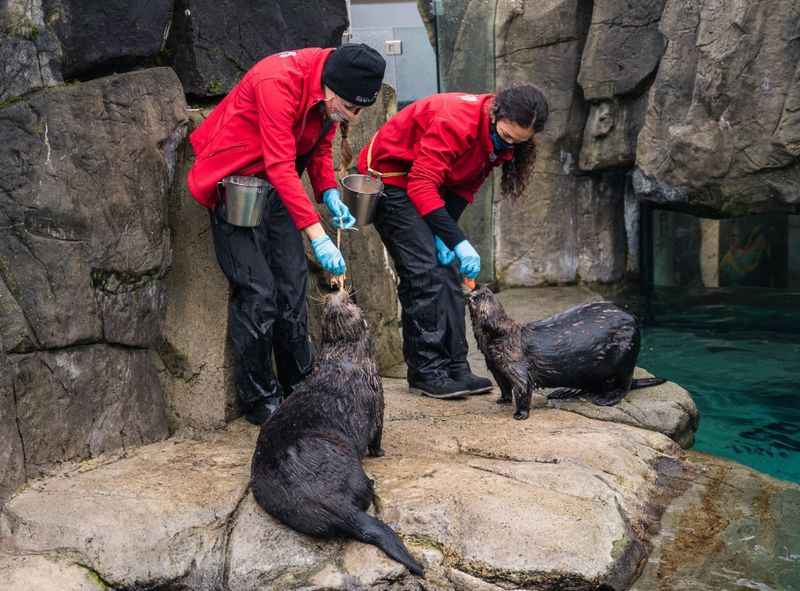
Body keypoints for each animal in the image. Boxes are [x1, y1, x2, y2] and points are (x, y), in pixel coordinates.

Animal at [250, 290, 424, 576]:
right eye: (352, 304)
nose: (335, 292)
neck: (342, 360)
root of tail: (330, 501)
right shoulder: (377, 395)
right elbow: (377, 433)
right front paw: (380, 452)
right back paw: (371, 483)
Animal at [468, 288, 664, 420]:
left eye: (487, 296)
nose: (478, 290)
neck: (502, 340)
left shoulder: (517, 365)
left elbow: (523, 389)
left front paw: (520, 414)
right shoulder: (495, 367)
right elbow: (503, 386)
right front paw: (503, 400)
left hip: (626, 353)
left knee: (625, 384)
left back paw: (607, 399)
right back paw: (564, 391)